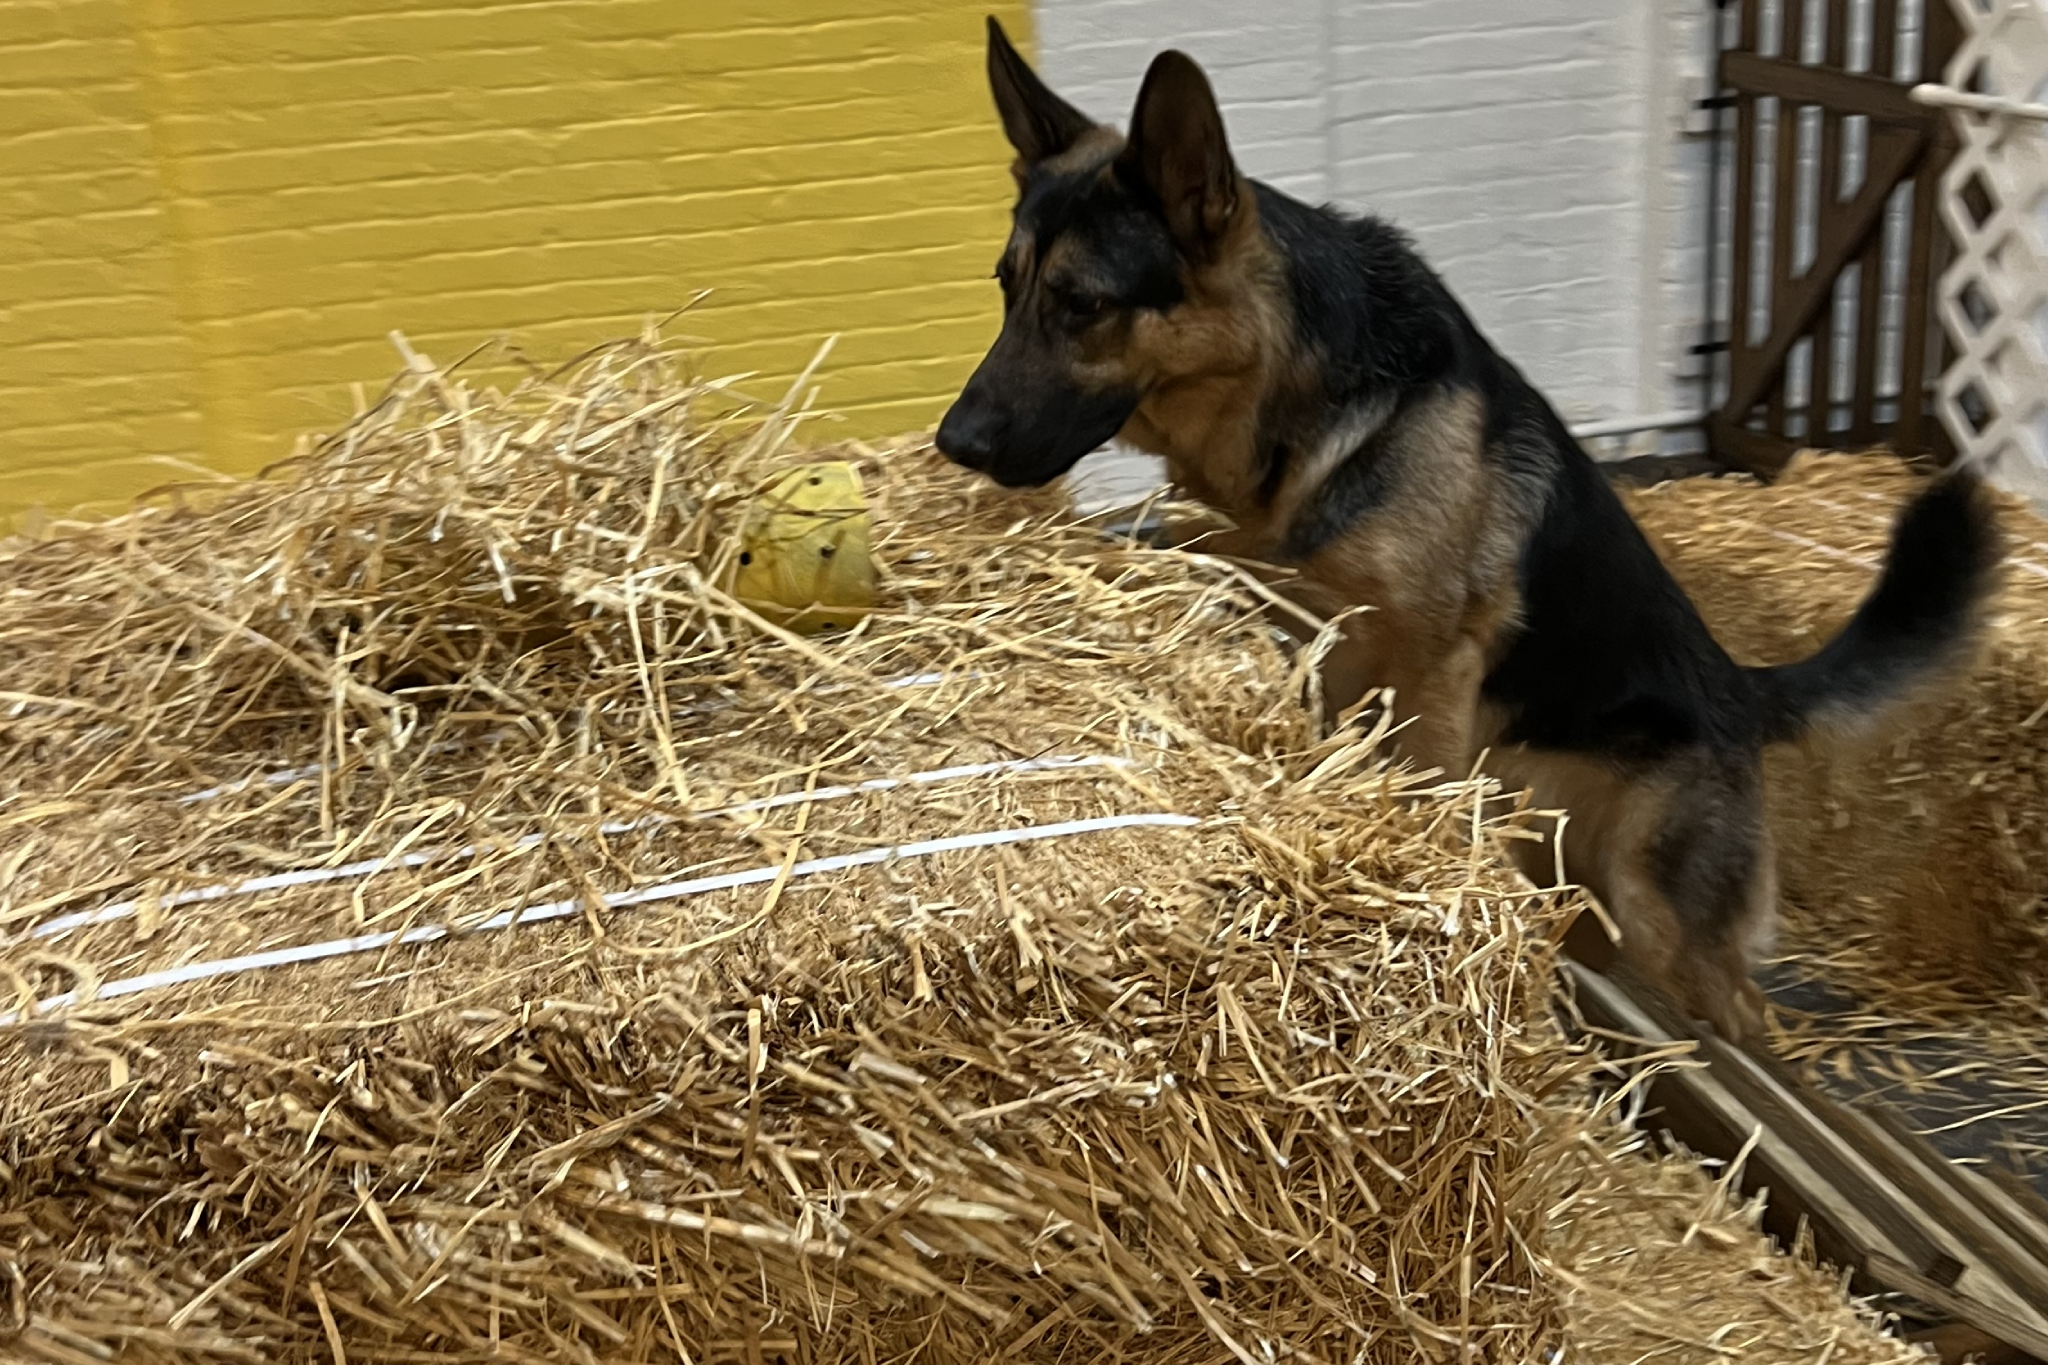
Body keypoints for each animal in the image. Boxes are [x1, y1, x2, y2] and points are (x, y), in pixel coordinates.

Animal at [937, 21, 1998, 1039]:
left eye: (1081, 303)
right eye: (1004, 287)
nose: (953, 442)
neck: (1302, 394)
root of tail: (1740, 687)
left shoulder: (1429, 664)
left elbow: (1415, 770)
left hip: (1663, 917)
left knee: (1741, 1011)